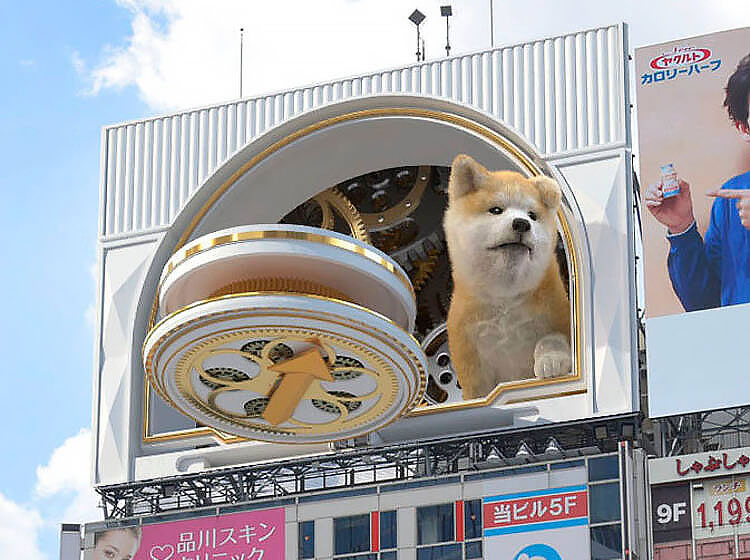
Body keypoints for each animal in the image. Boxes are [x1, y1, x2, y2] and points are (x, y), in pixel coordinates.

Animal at [444, 154, 572, 398]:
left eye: (532, 215)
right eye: (496, 210)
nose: (522, 223)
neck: (506, 298)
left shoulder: (557, 315)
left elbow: (552, 339)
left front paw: (551, 360)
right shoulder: (471, 354)